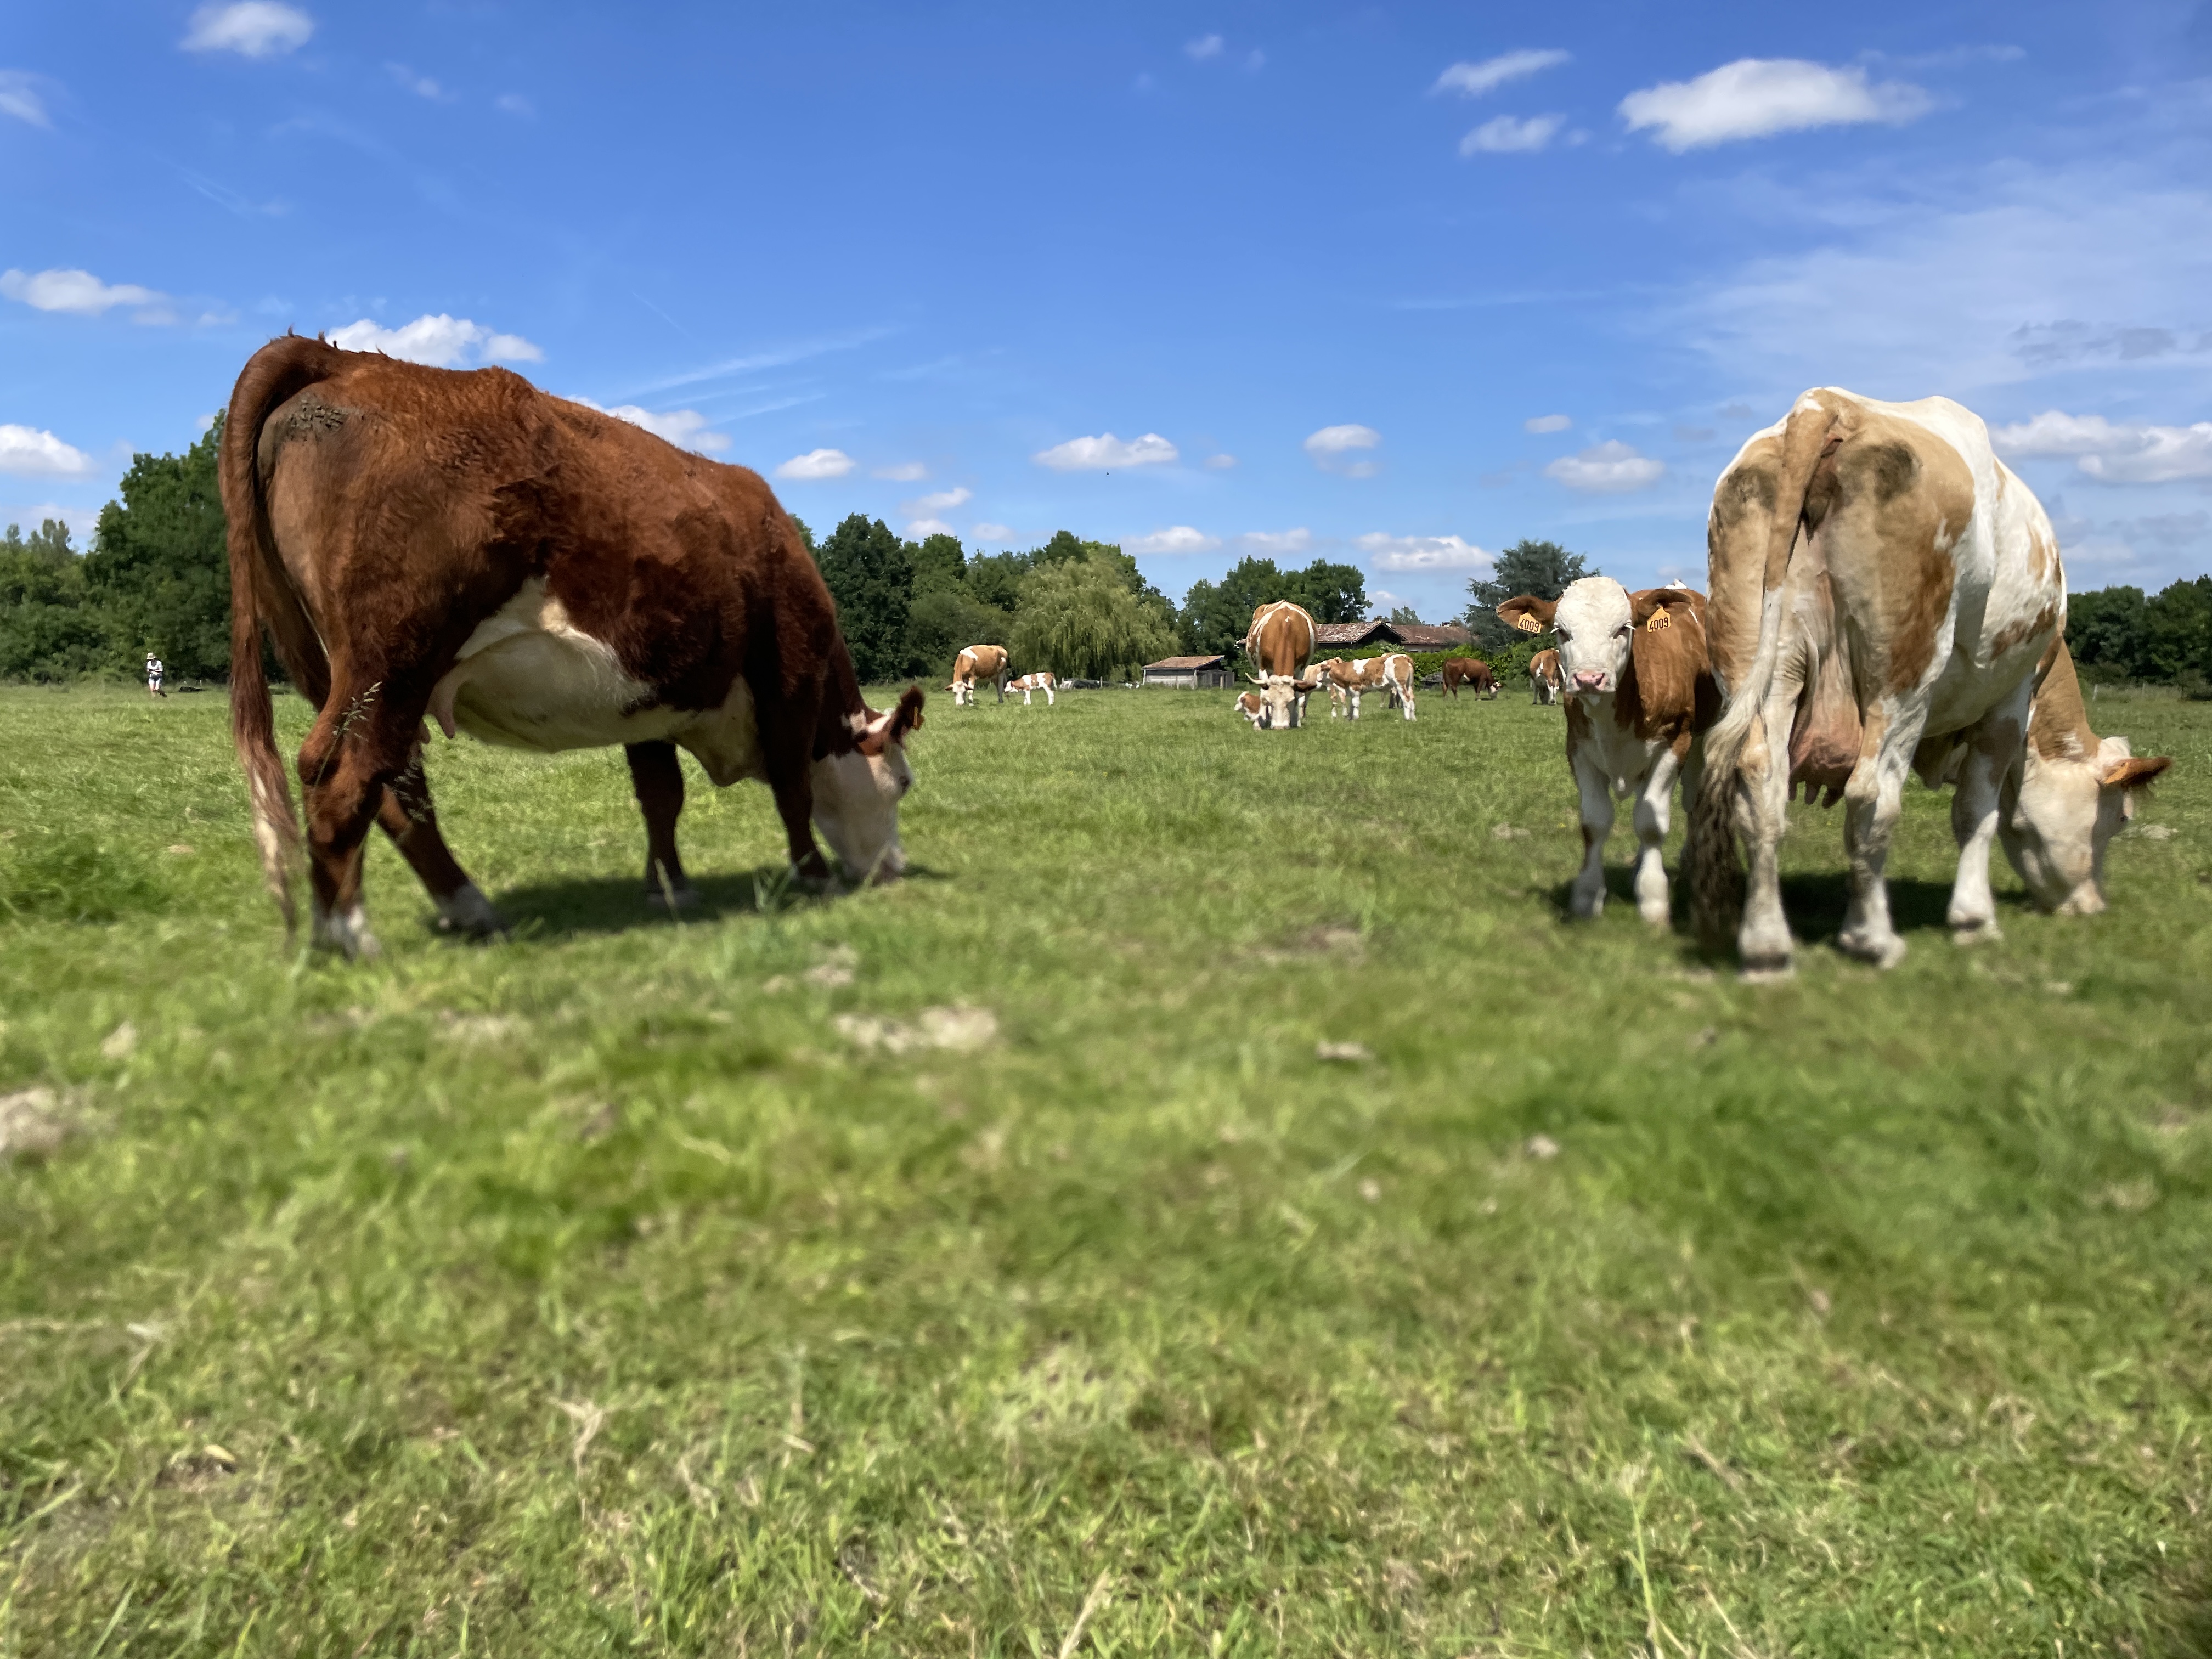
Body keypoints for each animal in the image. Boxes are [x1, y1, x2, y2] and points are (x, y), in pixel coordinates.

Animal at [220, 335, 925, 958]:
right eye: (904, 782)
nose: (893, 868)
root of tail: (343, 358)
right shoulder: (790, 675)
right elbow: (792, 788)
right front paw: (813, 876)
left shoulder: (650, 698)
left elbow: (661, 797)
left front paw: (669, 888)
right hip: (391, 660)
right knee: (344, 775)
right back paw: (348, 936)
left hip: (345, 671)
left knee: (399, 790)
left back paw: (468, 908)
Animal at [1241, 599, 1321, 728]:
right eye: (1271, 701)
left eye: (1290, 701)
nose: (1279, 727)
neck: (1285, 627)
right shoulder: (1263, 666)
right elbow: (1263, 696)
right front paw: (1260, 723)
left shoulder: (1301, 668)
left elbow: (1298, 695)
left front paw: (1295, 722)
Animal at [1315, 653, 1417, 721]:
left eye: (1322, 671)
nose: (1317, 679)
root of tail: (1404, 657)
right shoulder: (1353, 691)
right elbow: (1352, 704)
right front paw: (1350, 718)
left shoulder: (1355, 688)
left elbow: (1356, 704)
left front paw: (1356, 718)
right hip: (1409, 685)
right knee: (1412, 699)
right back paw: (1413, 719)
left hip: (1400, 685)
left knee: (1406, 699)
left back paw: (1407, 718)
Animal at [1498, 583, 1718, 924]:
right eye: (1562, 632)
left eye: (1623, 629)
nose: (1589, 679)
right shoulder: (1578, 747)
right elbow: (1595, 822)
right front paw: (1587, 898)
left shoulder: (1674, 742)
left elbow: (1651, 824)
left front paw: (1653, 899)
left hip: (1700, 740)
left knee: (1692, 800)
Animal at [1687, 388, 2170, 977]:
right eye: (2119, 818)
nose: (2092, 906)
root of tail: (1828, 404)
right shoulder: (2010, 703)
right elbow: (1977, 814)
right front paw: (1974, 920)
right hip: (1903, 672)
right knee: (1870, 795)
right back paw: (1873, 939)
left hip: (1761, 661)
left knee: (1760, 787)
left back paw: (1767, 948)